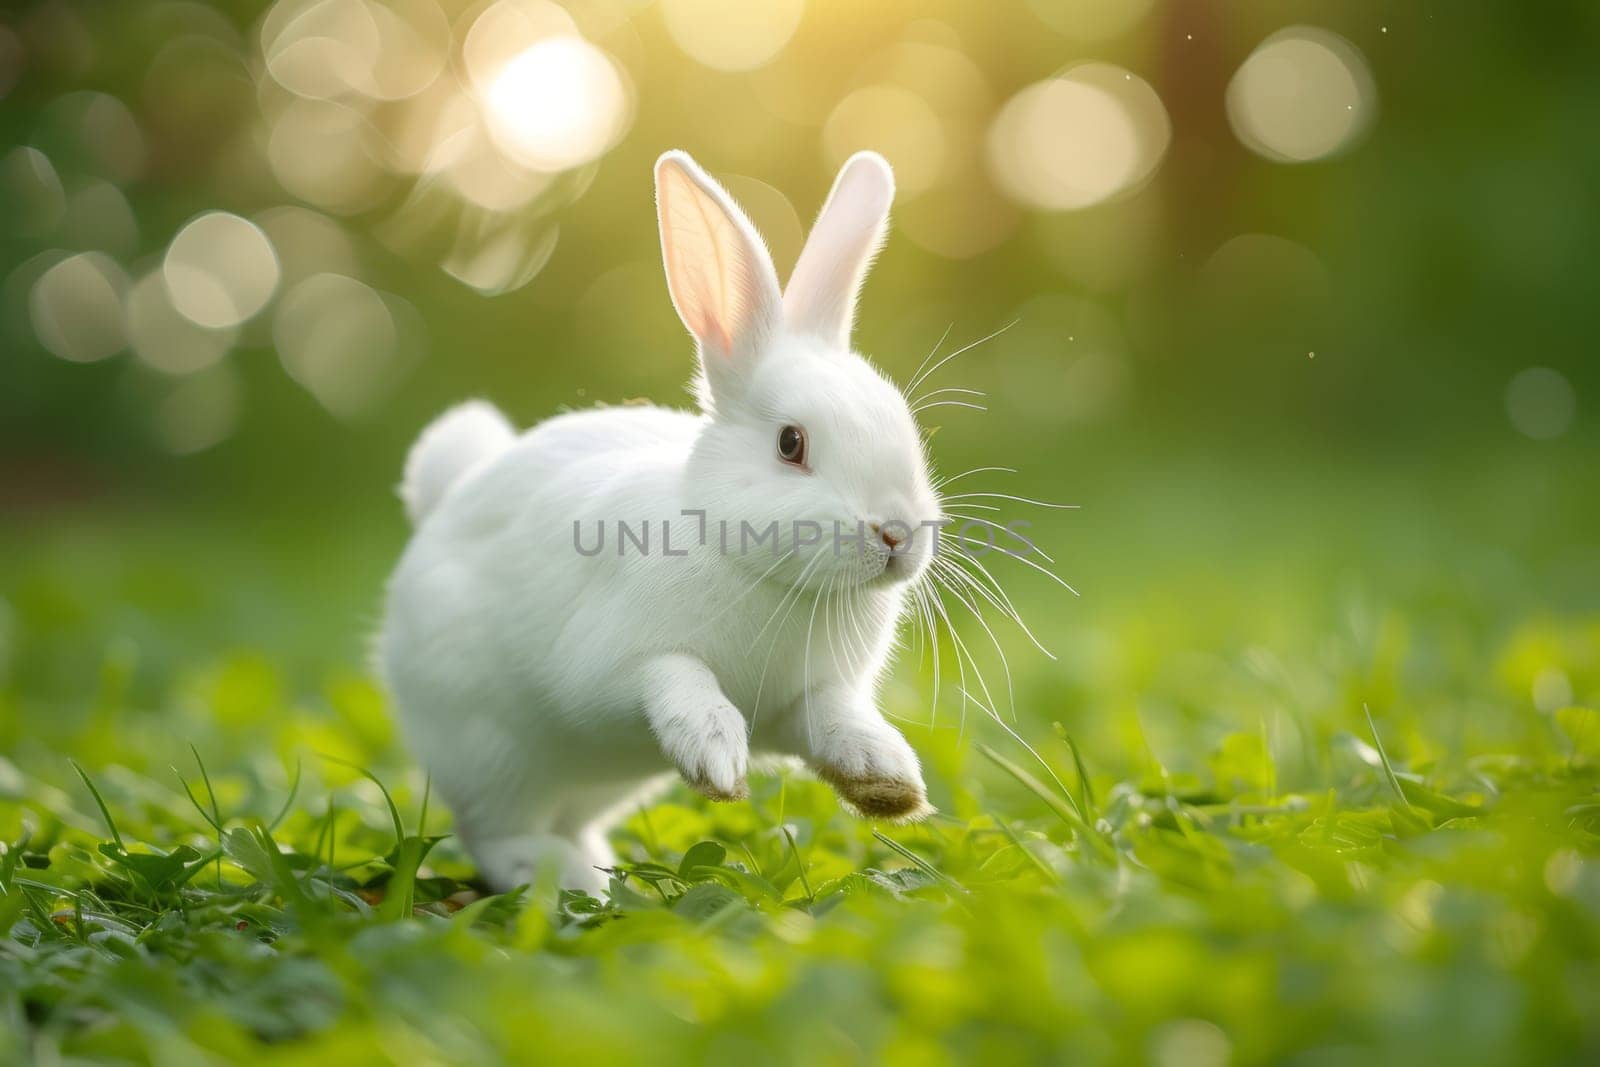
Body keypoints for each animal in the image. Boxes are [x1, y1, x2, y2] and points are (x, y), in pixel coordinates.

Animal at [380, 146, 940, 889]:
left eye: (905, 426)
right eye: (791, 443)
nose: (896, 534)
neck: (766, 575)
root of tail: (444, 498)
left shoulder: (804, 699)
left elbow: (836, 719)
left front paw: (889, 780)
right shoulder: (611, 667)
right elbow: (675, 677)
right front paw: (716, 753)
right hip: (492, 749)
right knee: (494, 832)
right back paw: (566, 877)